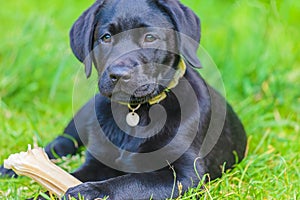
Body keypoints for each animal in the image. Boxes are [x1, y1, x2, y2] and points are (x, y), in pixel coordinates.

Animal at [1, 0, 247, 199]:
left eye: (150, 37)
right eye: (106, 37)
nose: (118, 75)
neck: (137, 112)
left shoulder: (185, 174)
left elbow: (132, 181)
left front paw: (90, 191)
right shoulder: (97, 162)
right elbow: (67, 177)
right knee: (62, 142)